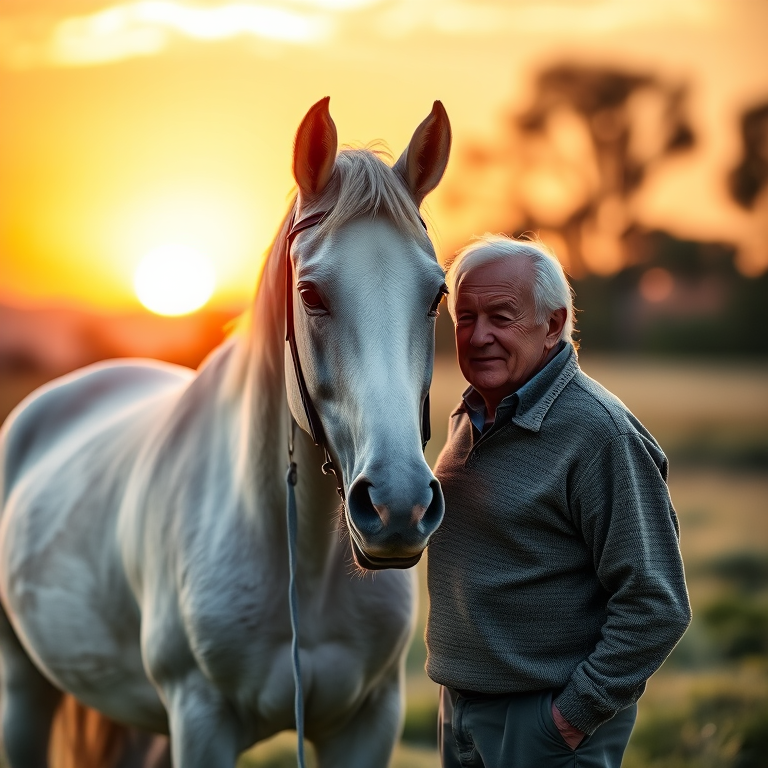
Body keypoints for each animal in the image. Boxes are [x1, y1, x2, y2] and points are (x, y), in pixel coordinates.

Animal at [0, 97, 451, 768]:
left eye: (437, 294)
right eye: (310, 294)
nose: (400, 507)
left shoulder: (368, 723)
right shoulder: (201, 720)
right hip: (25, 690)